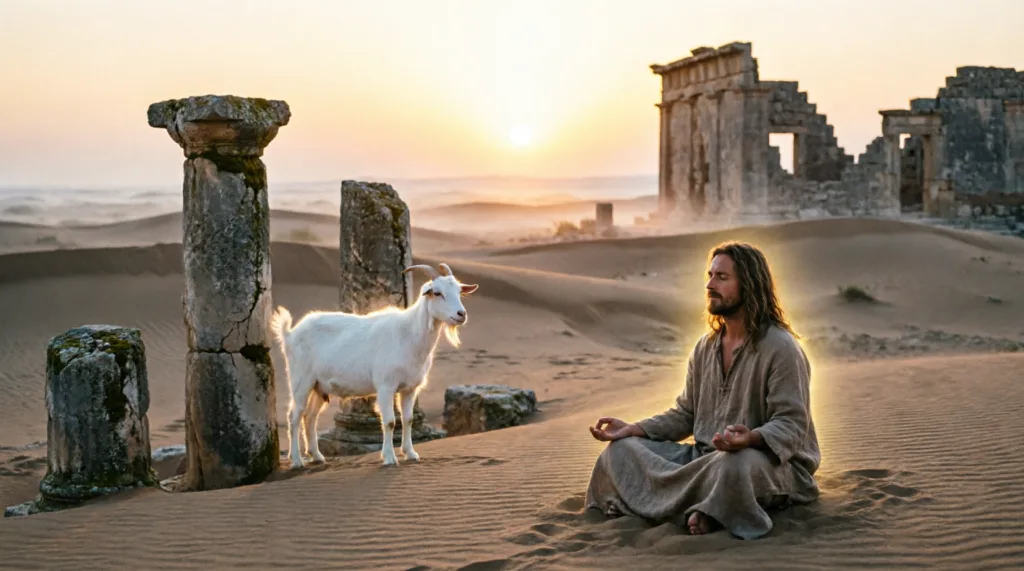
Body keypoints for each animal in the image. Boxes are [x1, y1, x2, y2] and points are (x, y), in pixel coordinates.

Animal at [269, 262, 479, 468]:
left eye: (459, 291)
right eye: (437, 293)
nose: (461, 314)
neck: (409, 334)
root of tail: (289, 334)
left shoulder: (409, 388)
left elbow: (408, 419)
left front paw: (410, 453)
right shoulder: (385, 386)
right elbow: (390, 422)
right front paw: (389, 458)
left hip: (319, 386)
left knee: (310, 416)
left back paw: (317, 456)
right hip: (301, 380)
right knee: (294, 416)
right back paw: (297, 460)